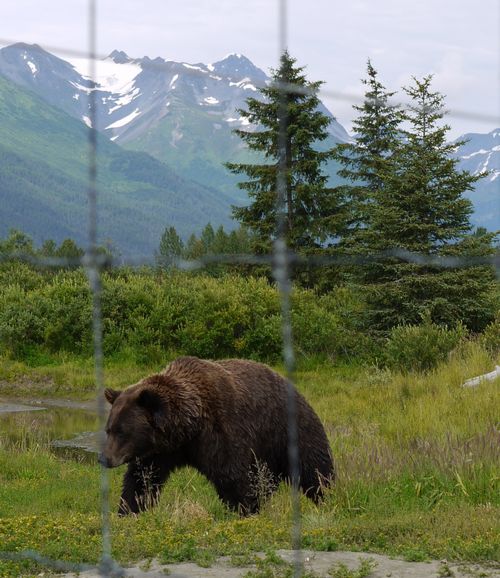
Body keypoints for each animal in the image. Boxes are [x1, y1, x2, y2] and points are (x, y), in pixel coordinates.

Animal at [99, 356, 334, 512]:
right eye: (109, 429)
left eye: (122, 431)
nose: (104, 458)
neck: (188, 430)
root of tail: (295, 388)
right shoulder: (160, 451)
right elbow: (141, 479)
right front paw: (129, 509)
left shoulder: (222, 433)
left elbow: (233, 477)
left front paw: (244, 508)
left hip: (289, 431)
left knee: (314, 468)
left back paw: (326, 496)